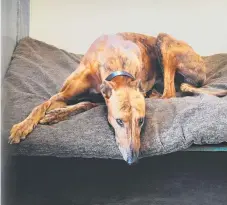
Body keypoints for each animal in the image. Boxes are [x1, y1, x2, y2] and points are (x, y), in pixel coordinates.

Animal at [8, 32, 227, 166]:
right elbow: (42, 105)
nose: (133, 159)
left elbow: (84, 103)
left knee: (170, 92)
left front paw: (54, 115)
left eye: (141, 121)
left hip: (165, 43)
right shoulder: (65, 94)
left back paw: (154, 94)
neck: (116, 64)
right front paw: (22, 126)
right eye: (119, 121)